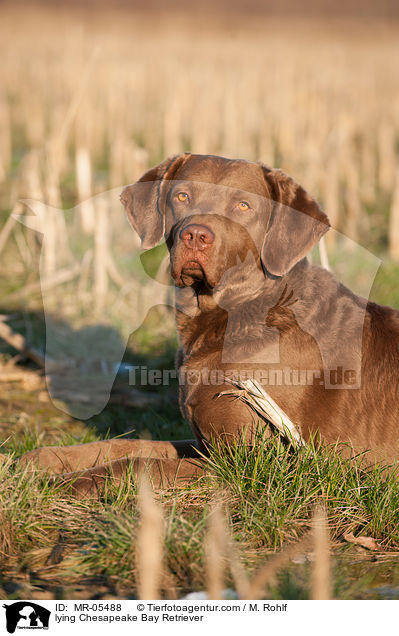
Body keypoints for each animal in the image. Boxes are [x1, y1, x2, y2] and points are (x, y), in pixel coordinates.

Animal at [17, 155, 399, 496]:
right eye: (182, 196)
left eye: (244, 205)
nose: (196, 235)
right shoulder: (206, 444)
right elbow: (126, 445)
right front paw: (45, 459)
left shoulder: (251, 463)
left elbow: (138, 463)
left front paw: (67, 483)